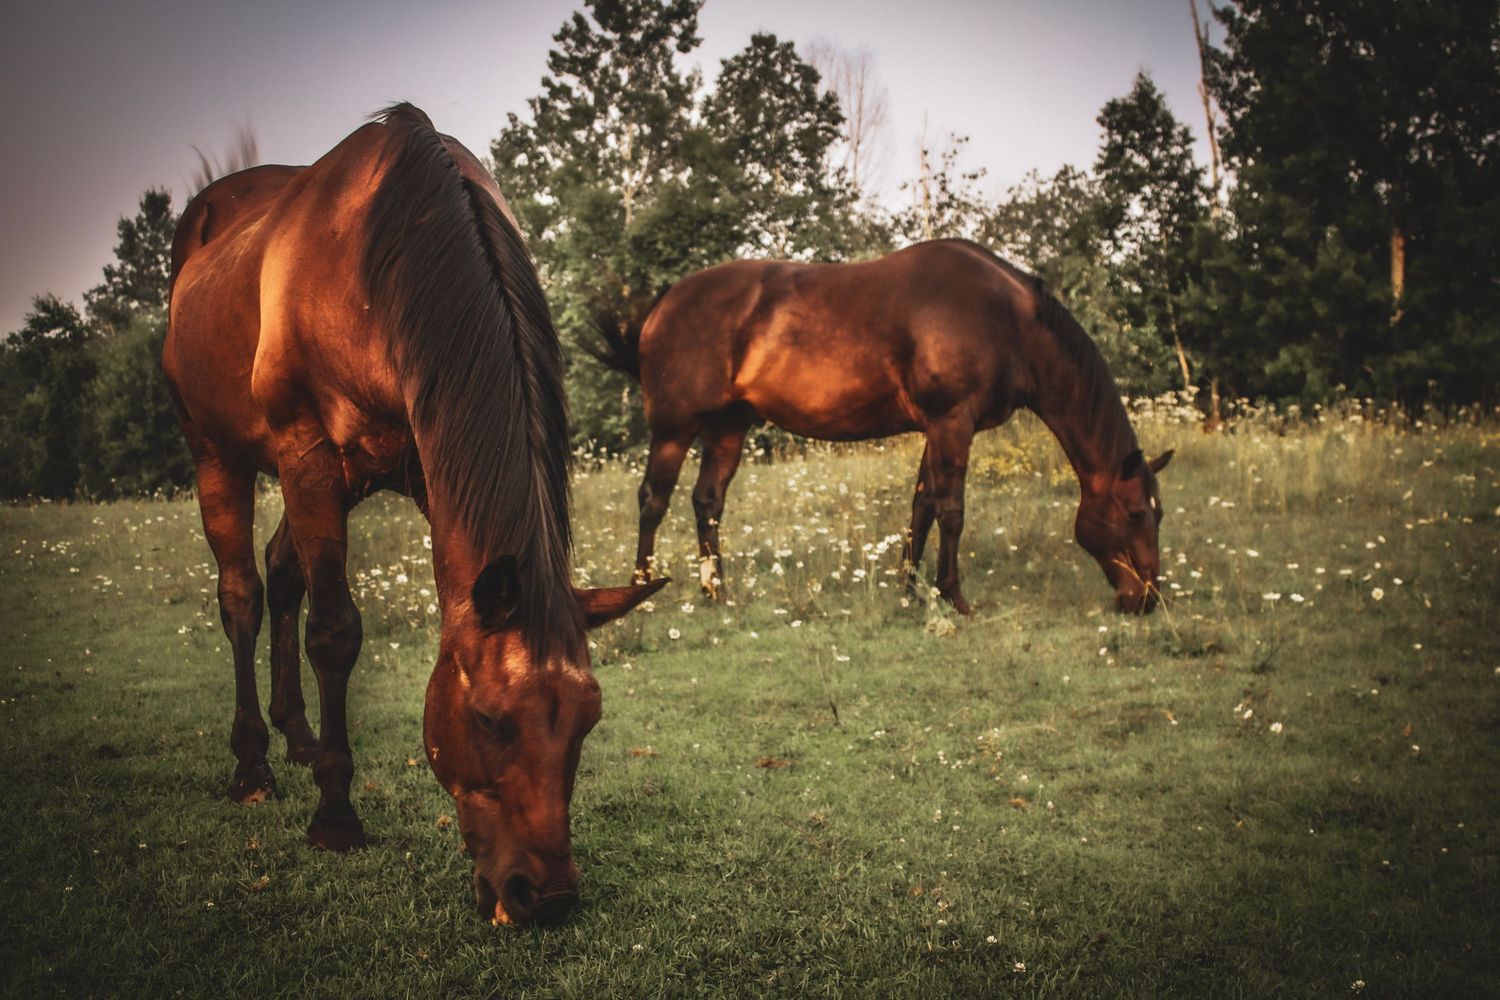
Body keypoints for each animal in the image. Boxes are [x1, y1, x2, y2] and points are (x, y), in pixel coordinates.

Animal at [163, 105, 665, 926]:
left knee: (280, 573)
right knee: (241, 594)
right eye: (490, 718)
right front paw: (336, 816)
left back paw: (297, 736)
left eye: (588, 718)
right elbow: (335, 633)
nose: (547, 897)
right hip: (220, 454)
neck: (382, 247)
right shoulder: (305, 452)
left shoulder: (426, 465)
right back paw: (253, 766)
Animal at [591, 239, 1172, 615]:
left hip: (728, 427)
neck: (1007, 320)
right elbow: (952, 510)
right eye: (1136, 513)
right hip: (674, 428)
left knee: (707, 501)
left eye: (1158, 513)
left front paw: (910, 588)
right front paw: (953, 596)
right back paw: (640, 593)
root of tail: (663, 303)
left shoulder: (937, 428)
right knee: (653, 500)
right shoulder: (953, 421)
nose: (1146, 599)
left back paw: (717, 593)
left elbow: (922, 507)